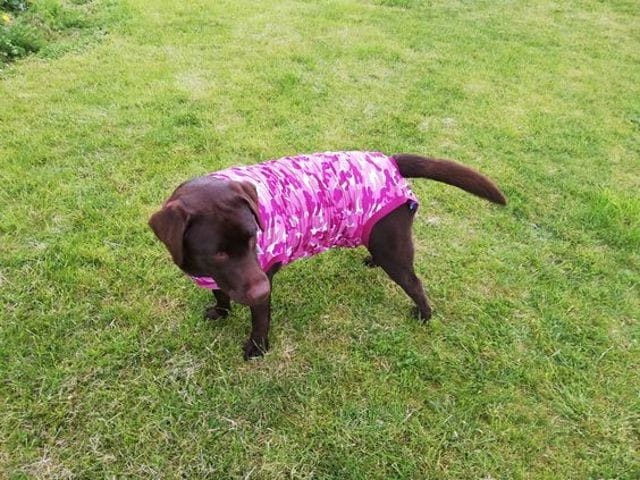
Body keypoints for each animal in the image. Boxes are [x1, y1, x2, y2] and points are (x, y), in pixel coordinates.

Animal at [149, 151, 506, 359]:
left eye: (253, 239)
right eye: (219, 253)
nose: (262, 289)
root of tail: (391, 160)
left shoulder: (260, 280)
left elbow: (259, 321)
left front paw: (257, 349)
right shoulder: (221, 278)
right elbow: (221, 293)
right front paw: (220, 312)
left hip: (393, 246)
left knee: (415, 283)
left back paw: (424, 314)